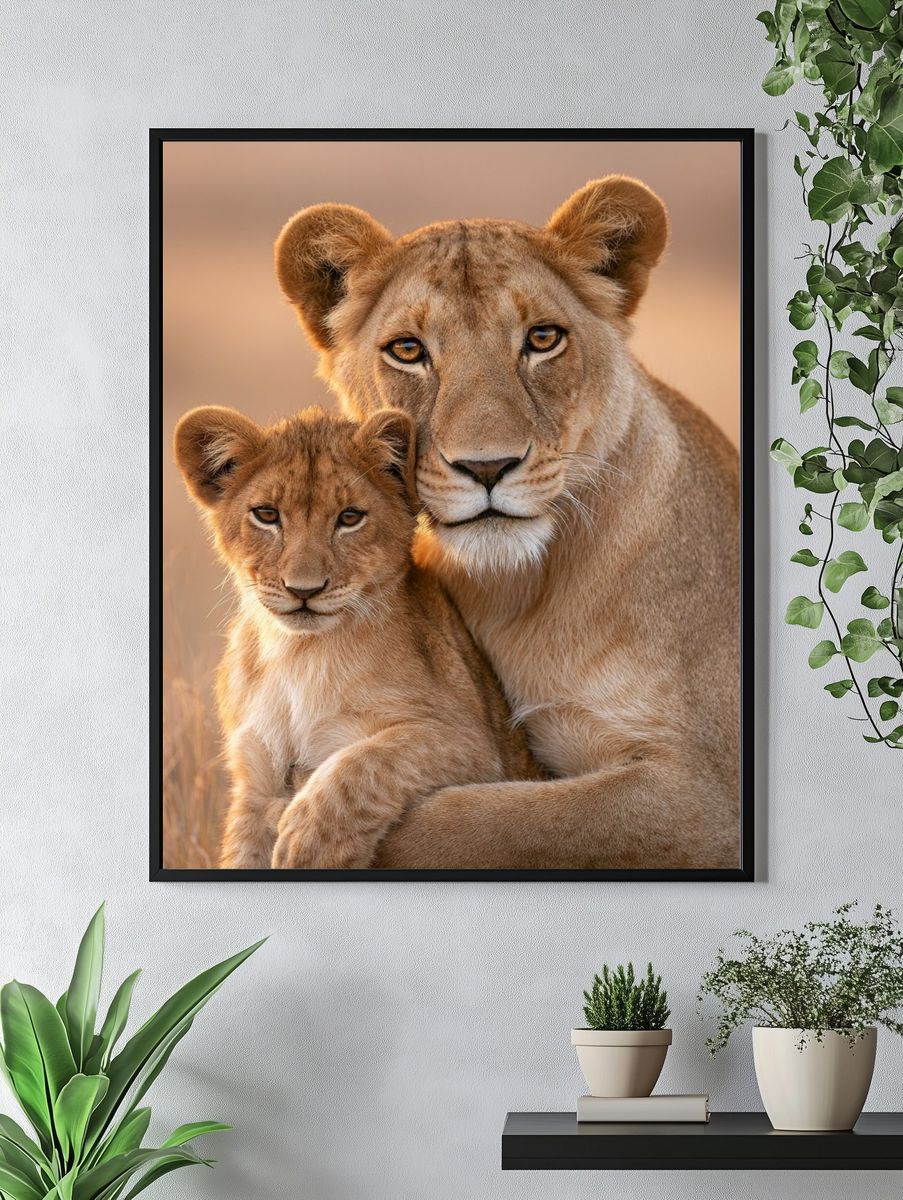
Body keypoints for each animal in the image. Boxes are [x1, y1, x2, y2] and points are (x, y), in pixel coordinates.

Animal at [173, 404, 539, 869]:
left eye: (349, 518)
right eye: (267, 515)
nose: (304, 590)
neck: (297, 654)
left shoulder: (472, 744)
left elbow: (368, 761)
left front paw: (308, 841)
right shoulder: (254, 781)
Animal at [274, 175, 741, 869]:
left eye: (543, 339)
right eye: (408, 350)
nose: (487, 466)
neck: (520, 594)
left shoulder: (710, 797)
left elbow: (498, 820)